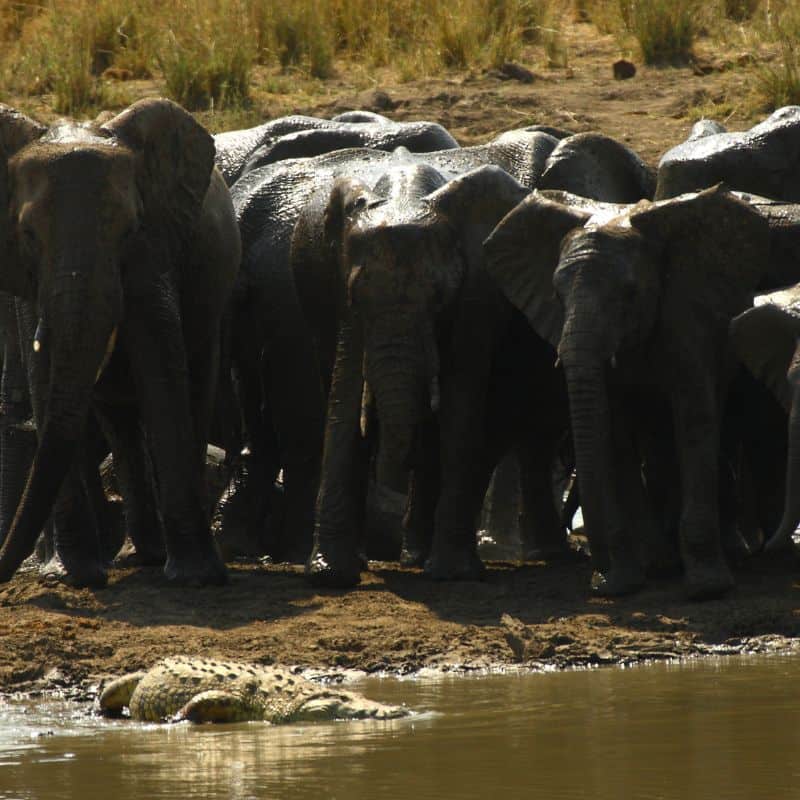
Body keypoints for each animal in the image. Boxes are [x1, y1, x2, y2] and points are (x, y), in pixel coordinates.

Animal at [0, 98, 241, 588]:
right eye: (28, 235)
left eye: (129, 231)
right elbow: (44, 381)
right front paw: (71, 576)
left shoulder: (154, 248)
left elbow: (161, 371)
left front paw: (196, 579)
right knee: (121, 423)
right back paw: (140, 553)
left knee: (194, 387)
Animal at [482, 184, 776, 596]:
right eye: (555, 295)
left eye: (630, 293)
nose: (597, 579)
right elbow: (614, 432)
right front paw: (634, 578)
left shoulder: (686, 316)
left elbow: (694, 417)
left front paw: (707, 589)